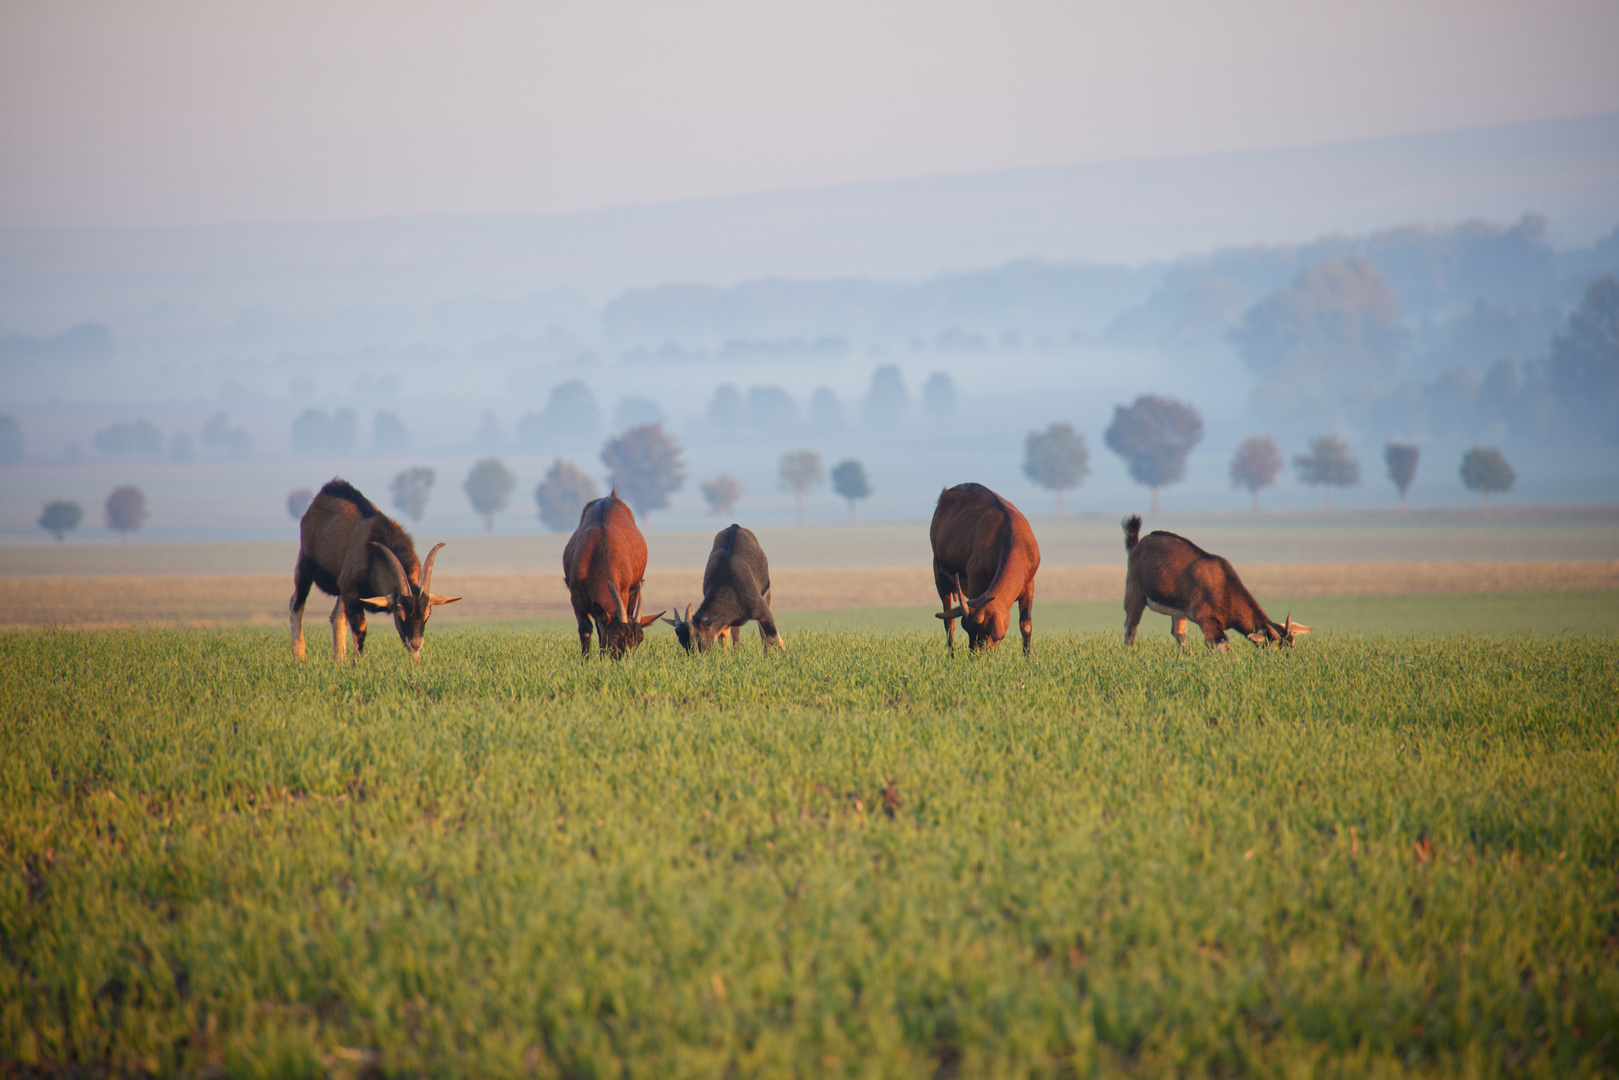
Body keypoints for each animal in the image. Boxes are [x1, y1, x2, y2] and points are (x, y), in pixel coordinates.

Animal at [293, 476, 463, 663]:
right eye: (399, 613)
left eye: (428, 614)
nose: (416, 644)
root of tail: (326, 491)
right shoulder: (352, 593)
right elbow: (360, 630)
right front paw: (357, 664)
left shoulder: (347, 590)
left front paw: (416, 663)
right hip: (304, 568)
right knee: (296, 603)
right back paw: (299, 658)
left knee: (336, 616)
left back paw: (339, 661)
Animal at [556, 492, 657, 660]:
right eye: (616, 636)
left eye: (639, 640)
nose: (623, 660)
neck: (601, 546)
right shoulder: (576, 596)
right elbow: (586, 629)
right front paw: (585, 661)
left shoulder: (624, 592)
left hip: (633, 591)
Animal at [932, 485, 1042, 654]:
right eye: (969, 630)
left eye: (987, 631)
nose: (977, 655)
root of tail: (945, 494)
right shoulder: (976, 583)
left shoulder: (1029, 584)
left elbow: (1026, 625)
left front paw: (1027, 657)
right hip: (939, 575)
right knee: (949, 622)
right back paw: (952, 656)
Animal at [1120, 514, 1308, 650]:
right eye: (1276, 648)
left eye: (1291, 646)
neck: (1225, 587)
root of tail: (1136, 545)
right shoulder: (1207, 621)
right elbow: (1222, 644)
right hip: (1135, 596)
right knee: (1130, 627)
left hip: (1178, 611)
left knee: (1178, 633)